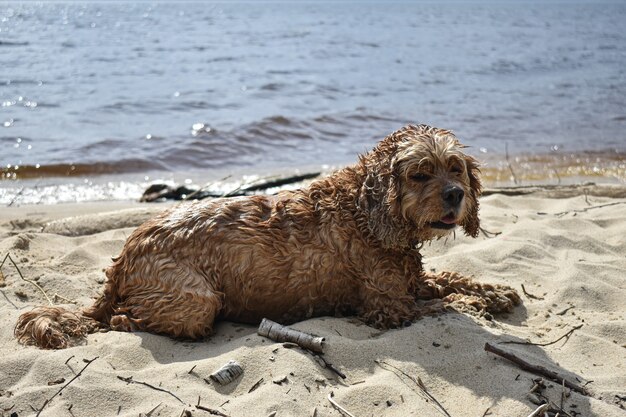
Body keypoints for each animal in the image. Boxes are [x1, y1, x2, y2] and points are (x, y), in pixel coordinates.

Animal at [17, 124, 520, 348]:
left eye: (455, 168)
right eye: (420, 174)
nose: (456, 195)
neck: (365, 209)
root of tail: (124, 255)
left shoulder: (410, 279)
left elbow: (454, 278)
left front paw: (494, 290)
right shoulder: (388, 307)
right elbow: (447, 303)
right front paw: (478, 303)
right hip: (195, 300)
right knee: (127, 318)